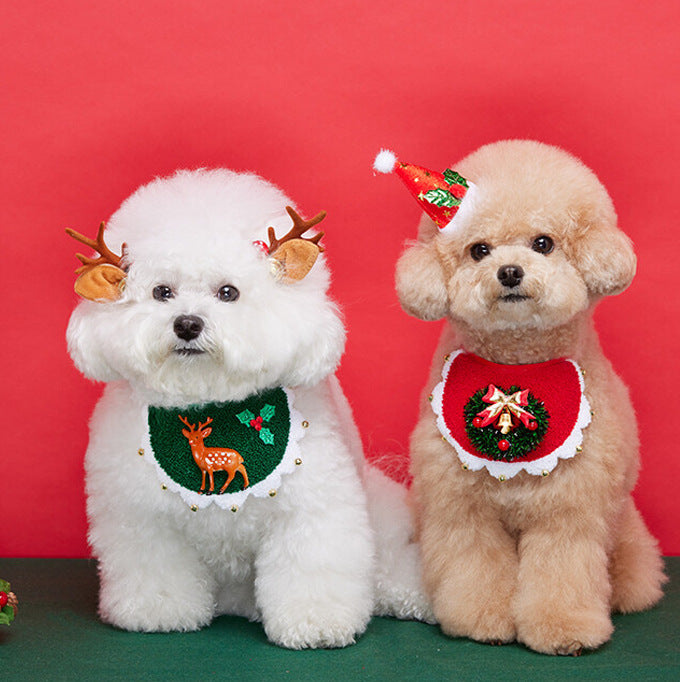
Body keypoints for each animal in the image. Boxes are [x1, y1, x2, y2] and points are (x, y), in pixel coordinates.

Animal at [66, 167, 428, 644]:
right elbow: (155, 568)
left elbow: (313, 569)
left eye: (228, 292)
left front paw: (315, 620)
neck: (212, 403)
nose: (187, 324)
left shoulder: (312, 510)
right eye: (162, 292)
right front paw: (157, 610)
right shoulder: (141, 519)